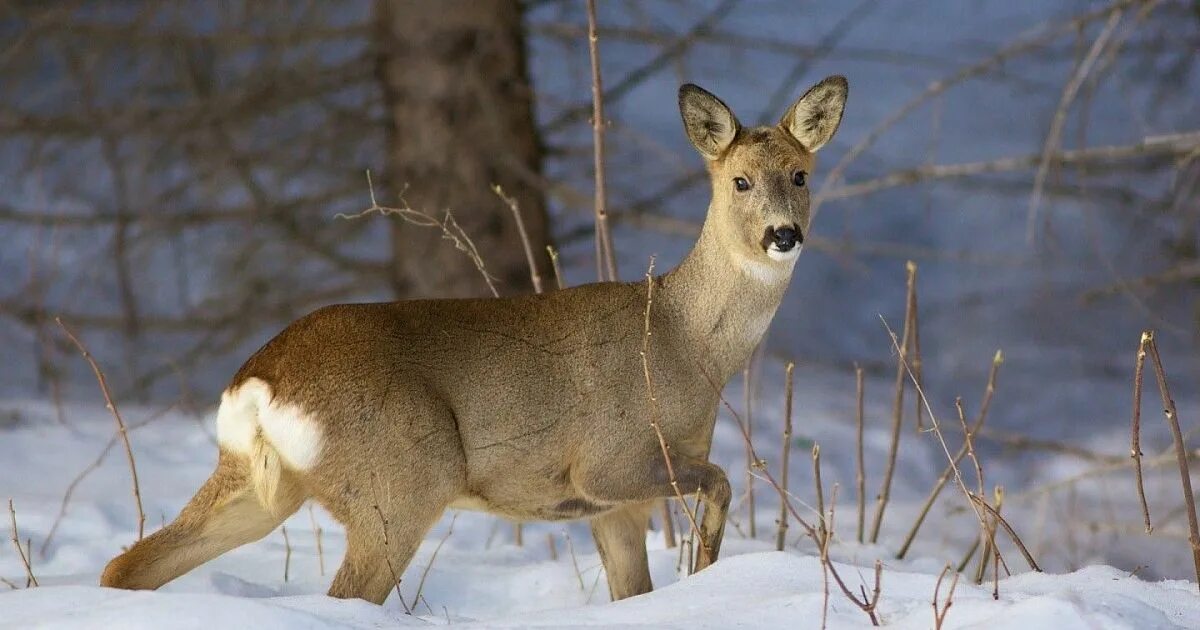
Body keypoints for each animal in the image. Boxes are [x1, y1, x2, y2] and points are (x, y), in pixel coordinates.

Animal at [103, 76, 849, 602]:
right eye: (740, 180)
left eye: (801, 175)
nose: (784, 235)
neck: (682, 341)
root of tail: (260, 381)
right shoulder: (607, 461)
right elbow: (720, 483)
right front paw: (706, 569)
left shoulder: (614, 508)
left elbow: (632, 591)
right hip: (400, 481)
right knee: (346, 593)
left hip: (259, 484)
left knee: (129, 564)